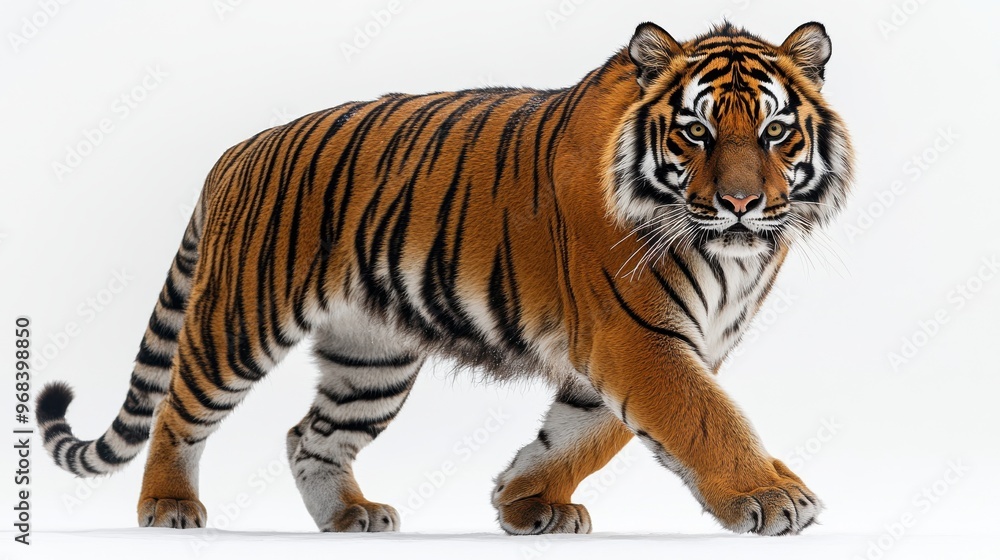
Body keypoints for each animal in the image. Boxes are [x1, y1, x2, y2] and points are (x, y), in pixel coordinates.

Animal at [37, 21, 853, 536]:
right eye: (697, 132)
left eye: (775, 132)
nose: (741, 204)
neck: (731, 255)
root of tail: (234, 154)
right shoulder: (639, 338)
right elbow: (707, 420)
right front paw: (773, 497)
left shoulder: (646, 349)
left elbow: (587, 435)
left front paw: (523, 500)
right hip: (239, 322)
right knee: (178, 411)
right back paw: (168, 508)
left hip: (372, 358)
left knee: (310, 436)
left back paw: (349, 517)